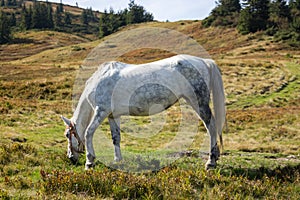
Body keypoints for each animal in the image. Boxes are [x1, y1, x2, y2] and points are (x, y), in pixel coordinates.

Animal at [61, 54, 225, 170]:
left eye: (67, 135)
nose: (70, 157)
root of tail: (204, 61)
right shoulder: (113, 116)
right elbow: (116, 138)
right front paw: (118, 160)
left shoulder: (101, 111)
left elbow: (88, 132)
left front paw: (89, 162)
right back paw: (215, 158)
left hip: (198, 102)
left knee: (211, 127)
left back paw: (210, 162)